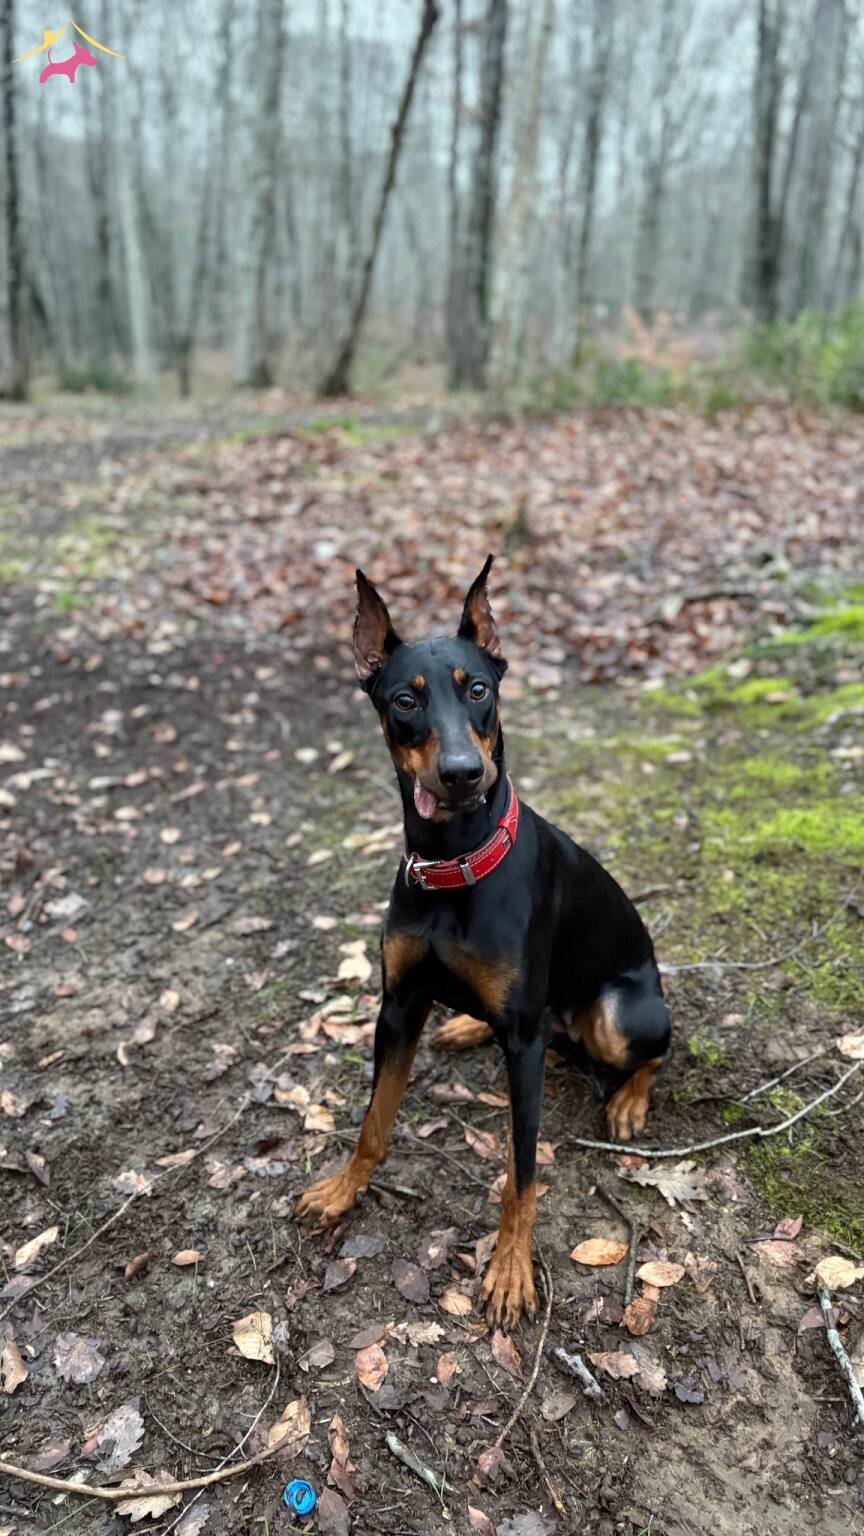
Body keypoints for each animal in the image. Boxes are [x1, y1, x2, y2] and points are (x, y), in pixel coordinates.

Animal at [296, 558, 672, 1327]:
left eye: (479, 690)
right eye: (405, 700)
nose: (464, 773)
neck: (454, 861)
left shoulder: (522, 1043)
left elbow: (521, 1175)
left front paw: (509, 1269)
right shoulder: (398, 1006)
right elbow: (374, 1122)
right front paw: (343, 1191)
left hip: (621, 1015)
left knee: (656, 1050)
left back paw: (629, 1100)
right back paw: (469, 1027)